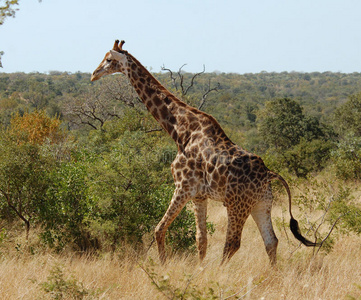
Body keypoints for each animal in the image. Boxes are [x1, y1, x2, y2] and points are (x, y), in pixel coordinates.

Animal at [90, 39, 318, 264]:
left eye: (108, 59)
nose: (93, 74)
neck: (180, 131)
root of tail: (269, 174)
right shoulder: (199, 195)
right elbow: (201, 240)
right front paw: (198, 269)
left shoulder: (183, 187)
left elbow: (159, 229)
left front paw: (163, 266)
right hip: (261, 204)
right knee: (271, 241)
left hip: (237, 205)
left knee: (232, 243)